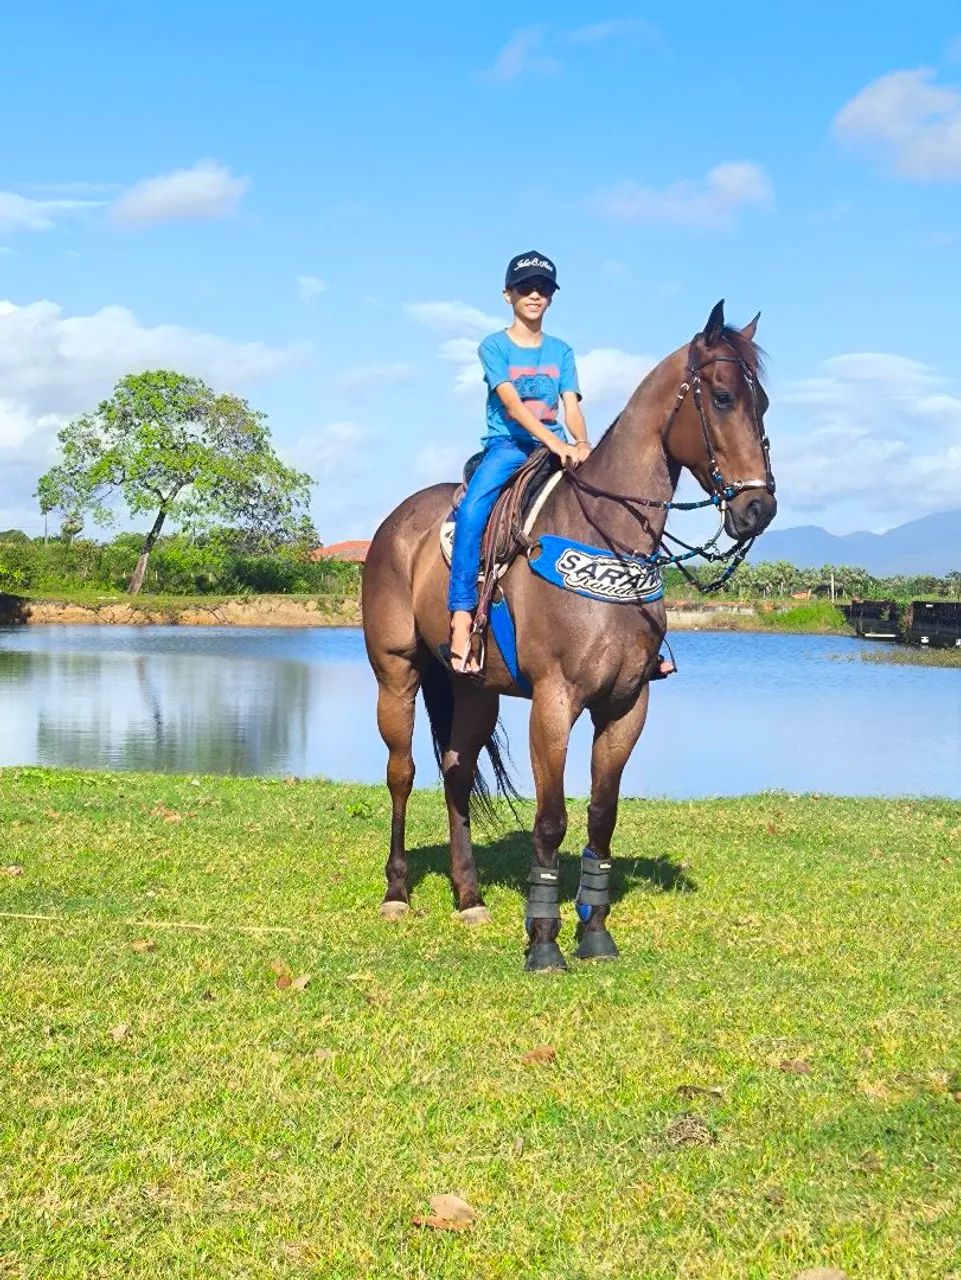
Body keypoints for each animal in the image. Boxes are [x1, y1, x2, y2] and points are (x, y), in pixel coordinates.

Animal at [361, 301, 776, 971]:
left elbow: (601, 816)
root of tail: (394, 524)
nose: (758, 510)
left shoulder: (627, 704)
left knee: (455, 772)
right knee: (402, 773)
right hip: (396, 672)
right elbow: (551, 819)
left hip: (472, 687)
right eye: (720, 397)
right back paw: (397, 892)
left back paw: (468, 896)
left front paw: (596, 931)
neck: (606, 536)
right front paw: (543, 940)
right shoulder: (555, 701)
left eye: (761, 401)